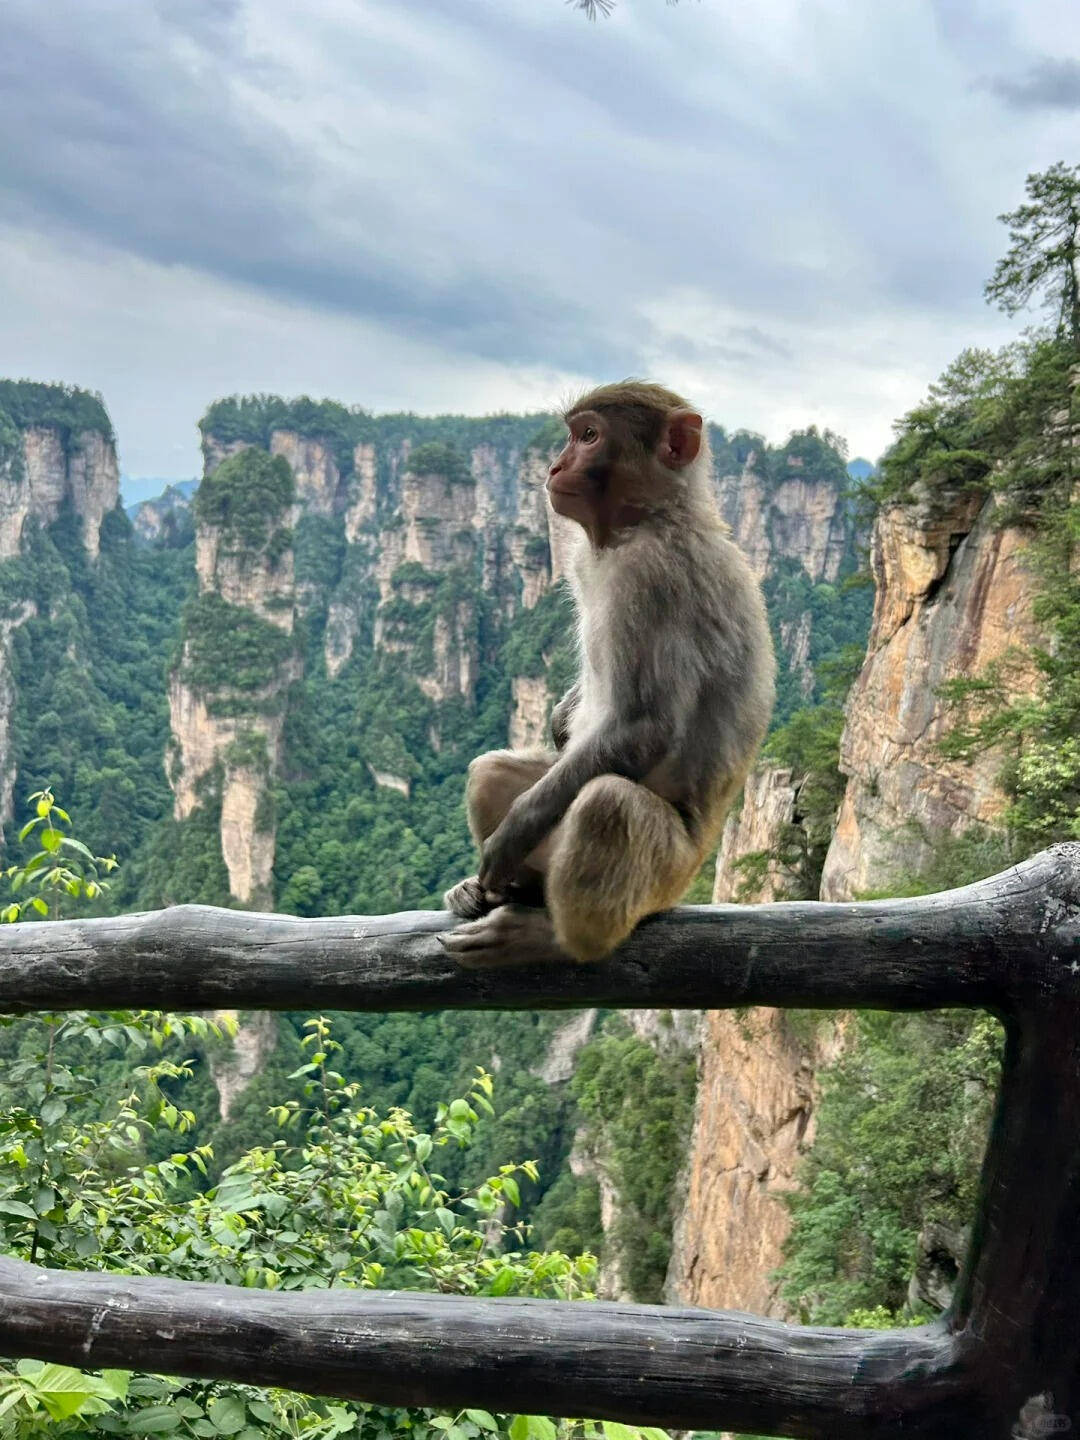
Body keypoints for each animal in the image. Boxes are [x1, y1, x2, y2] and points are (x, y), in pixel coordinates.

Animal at [440, 383, 777, 967]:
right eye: (572, 435)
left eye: (589, 436)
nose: (554, 466)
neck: (647, 520)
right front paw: (562, 714)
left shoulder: (652, 578)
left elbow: (646, 725)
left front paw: (513, 831)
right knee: (493, 772)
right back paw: (510, 894)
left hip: (666, 876)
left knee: (607, 804)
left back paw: (555, 939)